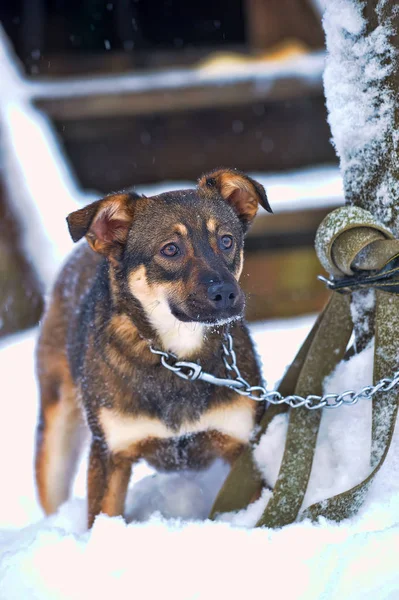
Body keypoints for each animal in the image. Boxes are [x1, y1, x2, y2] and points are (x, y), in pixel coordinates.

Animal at [35, 168, 272, 524]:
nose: (227, 294)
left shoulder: (241, 447)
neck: (179, 359)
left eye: (227, 240)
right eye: (170, 249)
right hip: (56, 436)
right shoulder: (111, 453)